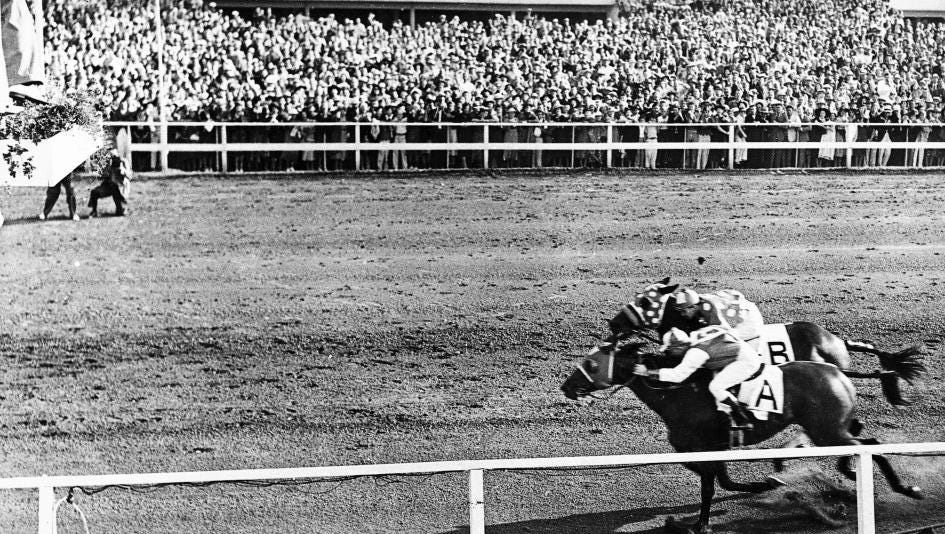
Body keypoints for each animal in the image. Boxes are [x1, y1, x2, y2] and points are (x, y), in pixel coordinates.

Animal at [560, 344, 920, 534]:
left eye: (591, 363)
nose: (566, 387)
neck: (679, 393)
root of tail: (836, 370)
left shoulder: (707, 447)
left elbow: (711, 487)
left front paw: (703, 523)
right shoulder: (702, 450)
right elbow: (723, 482)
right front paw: (769, 483)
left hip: (826, 429)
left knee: (870, 448)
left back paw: (905, 488)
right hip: (831, 427)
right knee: (865, 440)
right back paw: (858, 478)